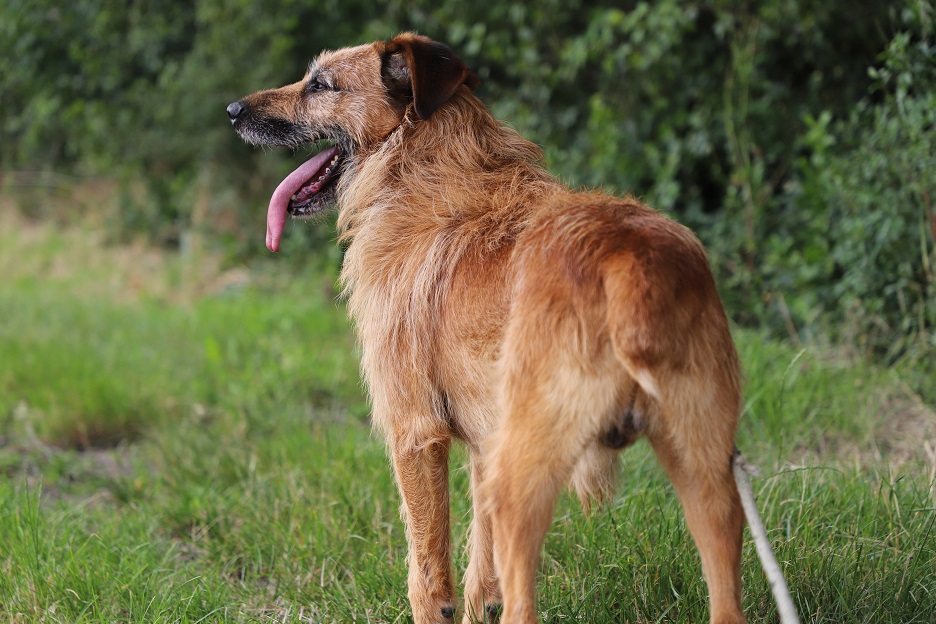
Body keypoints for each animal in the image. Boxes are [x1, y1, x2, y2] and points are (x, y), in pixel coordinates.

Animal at [227, 33, 744, 624]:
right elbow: (479, 572)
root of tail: (625, 260)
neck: (421, 165)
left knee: (520, 599)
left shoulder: (415, 432)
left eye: (321, 84)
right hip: (707, 476)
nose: (233, 111)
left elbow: (429, 575)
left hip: (528, 478)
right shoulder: (484, 446)